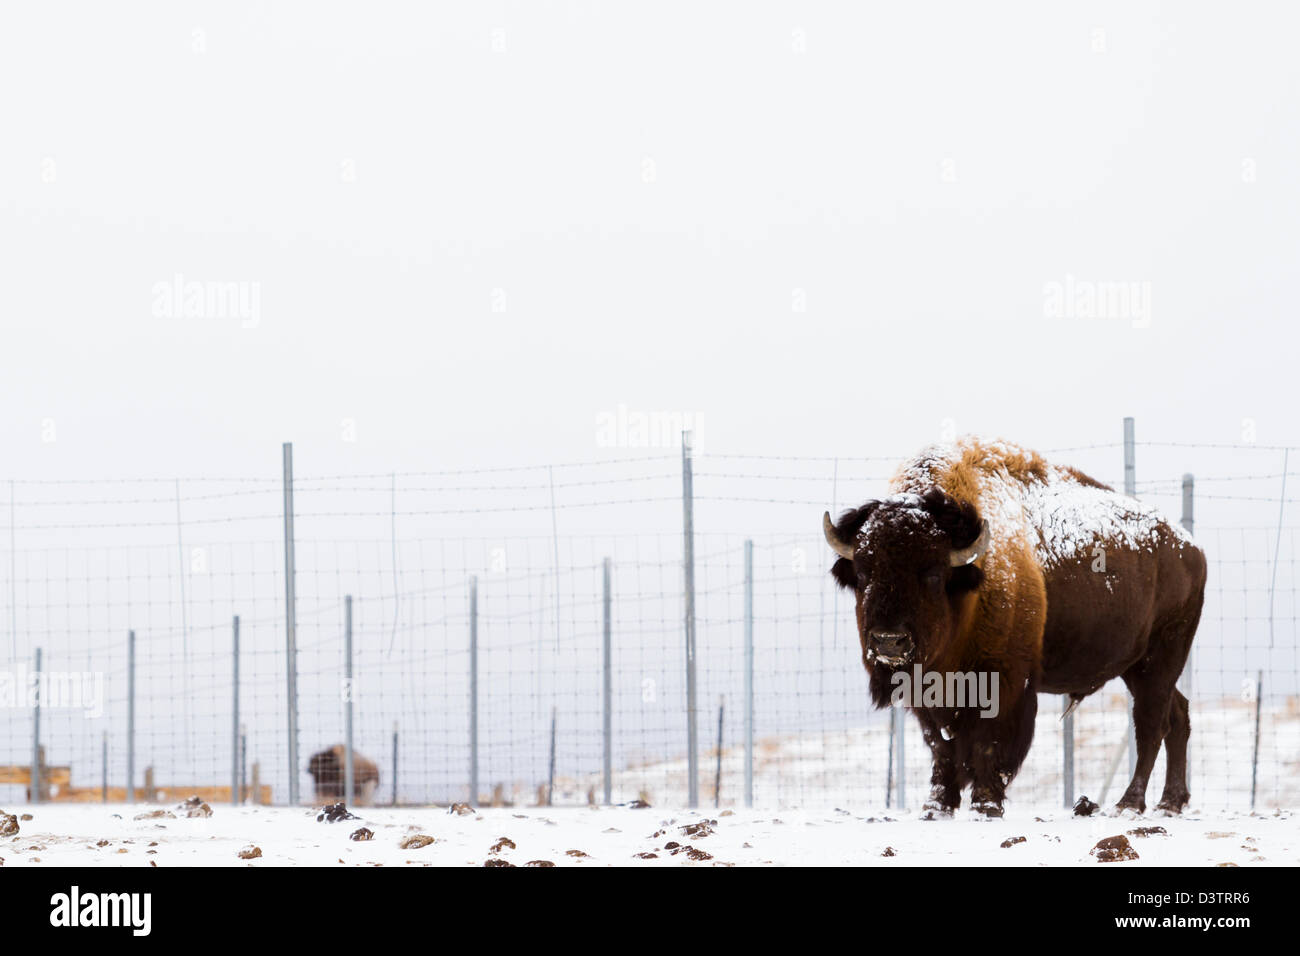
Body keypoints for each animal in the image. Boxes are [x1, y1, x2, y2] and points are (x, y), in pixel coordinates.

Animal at [823, 437, 1205, 817]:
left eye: (932, 574)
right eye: (862, 574)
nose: (889, 642)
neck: (969, 583)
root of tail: (1191, 548)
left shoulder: (1004, 682)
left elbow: (987, 743)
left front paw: (986, 803)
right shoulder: (926, 694)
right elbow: (940, 746)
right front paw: (936, 806)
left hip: (1160, 659)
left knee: (1151, 724)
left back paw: (1130, 804)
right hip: (1138, 667)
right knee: (1177, 715)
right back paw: (1170, 802)